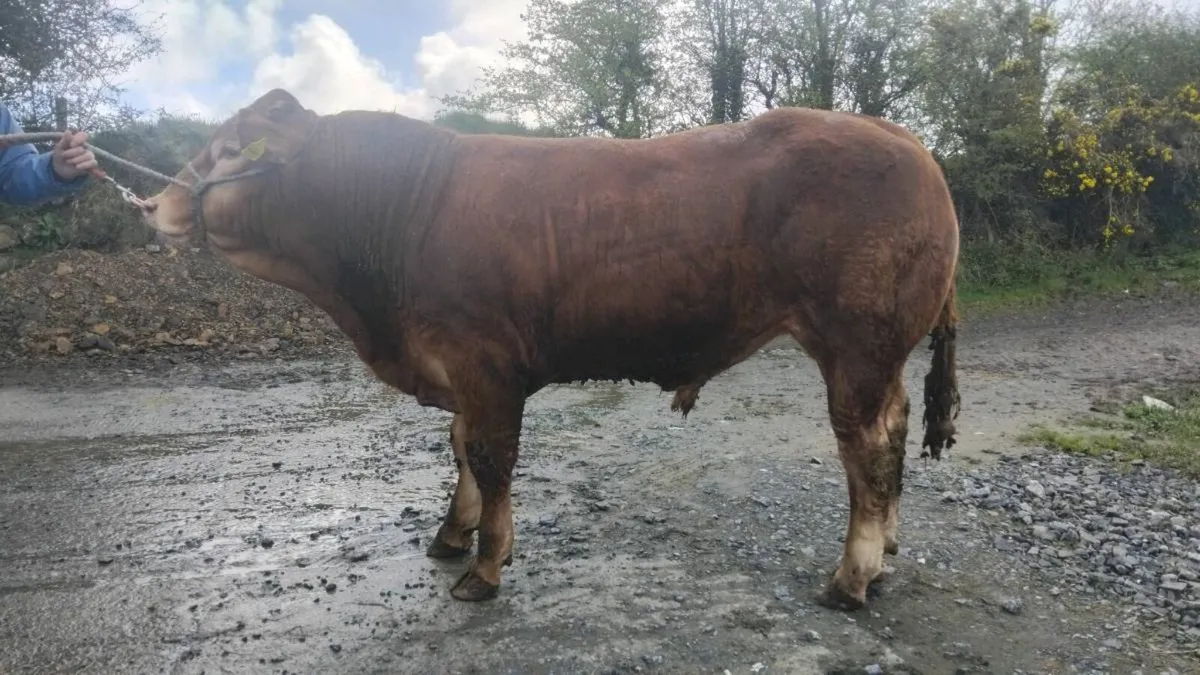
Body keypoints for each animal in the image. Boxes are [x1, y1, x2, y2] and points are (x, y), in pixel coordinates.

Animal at [138, 88, 961, 610]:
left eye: (226, 151)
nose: (152, 203)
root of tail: (899, 136)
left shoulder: (485, 362)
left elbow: (491, 458)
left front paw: (485, 567)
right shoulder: (458, 370)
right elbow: (462, 449)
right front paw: (452, 534)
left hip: (856, 345)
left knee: (868, 447)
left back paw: (851, 578)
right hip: (876, 353)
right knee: (890, 433)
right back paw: (886, 550)